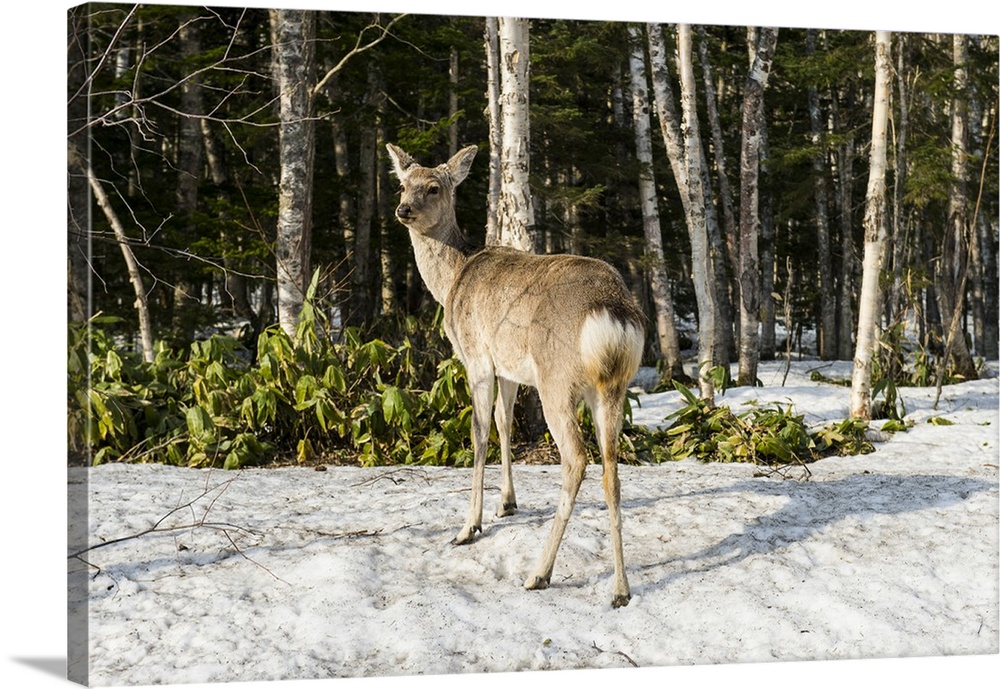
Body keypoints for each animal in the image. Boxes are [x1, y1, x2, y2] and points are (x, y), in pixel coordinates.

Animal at [386, 142, 644, 604]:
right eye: (402, 184)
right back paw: (620, 589)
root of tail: (613, 313)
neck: (451, 281)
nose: (403, 210)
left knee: (576, 459)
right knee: (611, 467)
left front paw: (469, 526)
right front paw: (507, 503)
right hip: (612, 386)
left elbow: (479, 433)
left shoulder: (476, 356)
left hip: (556, 379)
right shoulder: (508, 369)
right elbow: (505, 423)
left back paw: (539, 573)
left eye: (433, 187)